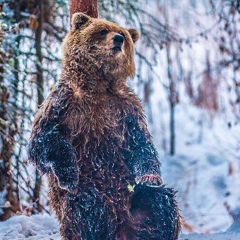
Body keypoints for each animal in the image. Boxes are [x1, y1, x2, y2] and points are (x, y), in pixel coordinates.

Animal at [28, 12, 180, 240]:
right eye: (102, 30)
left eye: (123, 34)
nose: (118, 39)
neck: (98, 86)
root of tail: (122, 228)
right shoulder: (63, 104)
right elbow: (43, 141)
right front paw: (69, 175)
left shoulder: (126, 109)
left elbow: (141, 144)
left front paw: (150, 177)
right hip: (90, 197)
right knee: (87, 206)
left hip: (133, 203)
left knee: (159, 202)